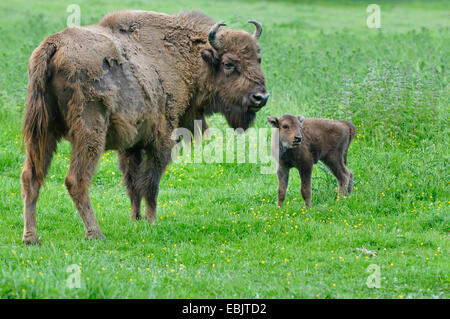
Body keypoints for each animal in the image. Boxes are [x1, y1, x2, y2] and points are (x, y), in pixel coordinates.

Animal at [21, 10, 268, 245]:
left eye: (258, 58)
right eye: (229, 64)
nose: (261, 97)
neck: (184, 57)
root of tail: (54, 44)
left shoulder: (132, 146)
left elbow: (133, 183)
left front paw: (136, 218)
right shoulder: (162, 140)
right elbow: (150, 183)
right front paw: (151, 220)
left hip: (43, 131)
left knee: (30, 177)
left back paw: (31, 238)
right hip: (89, 133)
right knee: (76, 180)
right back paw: (95, 234)